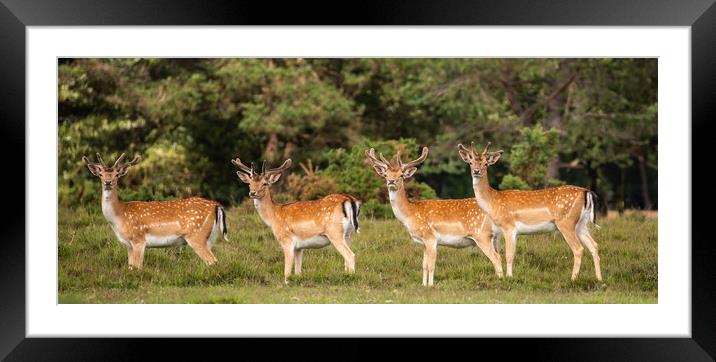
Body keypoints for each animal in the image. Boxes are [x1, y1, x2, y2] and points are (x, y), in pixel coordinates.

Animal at [81, 153, 228, 268]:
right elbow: (130, 267)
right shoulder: (128, 245)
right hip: (209, 238)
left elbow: (138, 267)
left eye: (117, 174)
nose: (108, 182)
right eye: (100, 174)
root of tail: (216, 206)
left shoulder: (138, 239)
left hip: (196, 236)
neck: (119, 216)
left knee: (212, 261)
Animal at [232, 157, 360, 284]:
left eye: (265, 183)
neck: (274, 216)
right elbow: (298, 271)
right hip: (348, 234)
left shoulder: (286, 240)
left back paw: (351, 279)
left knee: (350, 255)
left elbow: (287, 272)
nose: (252, 193)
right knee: (347, 258)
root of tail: (350, 200)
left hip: (334, 233)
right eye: (250, 183)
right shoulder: (299, 247)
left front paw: (287, 283)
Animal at [366, 146, 500, 286]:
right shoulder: (424, 242)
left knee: (496, 258)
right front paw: (423, 285)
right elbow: (424, 265)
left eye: (401, 175)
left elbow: (431, 265)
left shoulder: (430, 237)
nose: (391, 181)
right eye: (386, 175)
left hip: (482, 235)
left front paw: (431, 285)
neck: (410, 214)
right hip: (494, 237)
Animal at [456, 143, 600, 282]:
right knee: (594, 245)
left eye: (486, 163)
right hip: (581, 224)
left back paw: (573, 279)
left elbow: (508, 255)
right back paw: (599, 278)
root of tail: (586, 192)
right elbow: (510, 254)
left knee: (578, 248)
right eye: (471, 162)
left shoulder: (508, 226)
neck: (493, 202)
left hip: (566, 222)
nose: (476, 171)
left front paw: (509, 277)